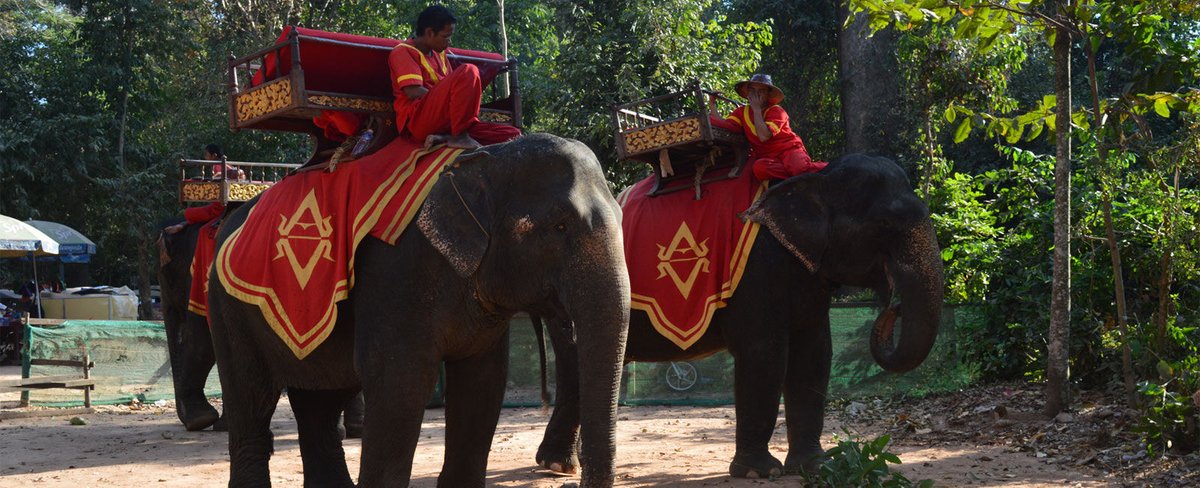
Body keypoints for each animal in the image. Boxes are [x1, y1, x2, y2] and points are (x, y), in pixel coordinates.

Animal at [206, 133, 631, 487]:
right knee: (252, 396)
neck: (486, 159)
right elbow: (399, 383)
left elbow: (481, 382)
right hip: (227, 308)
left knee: (319, 402)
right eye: (559, 227)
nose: (570, 474)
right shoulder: (395, 271)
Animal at [535, 153, 944, 479]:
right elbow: (764, 354)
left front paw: (816, 467)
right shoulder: (758, 271)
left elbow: (815, 355)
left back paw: (565, 464)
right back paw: (559, 465)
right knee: (575, 364)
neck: (814, 176)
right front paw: (758, 473)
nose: (892, 307)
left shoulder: (806, 275)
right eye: (885, 227)